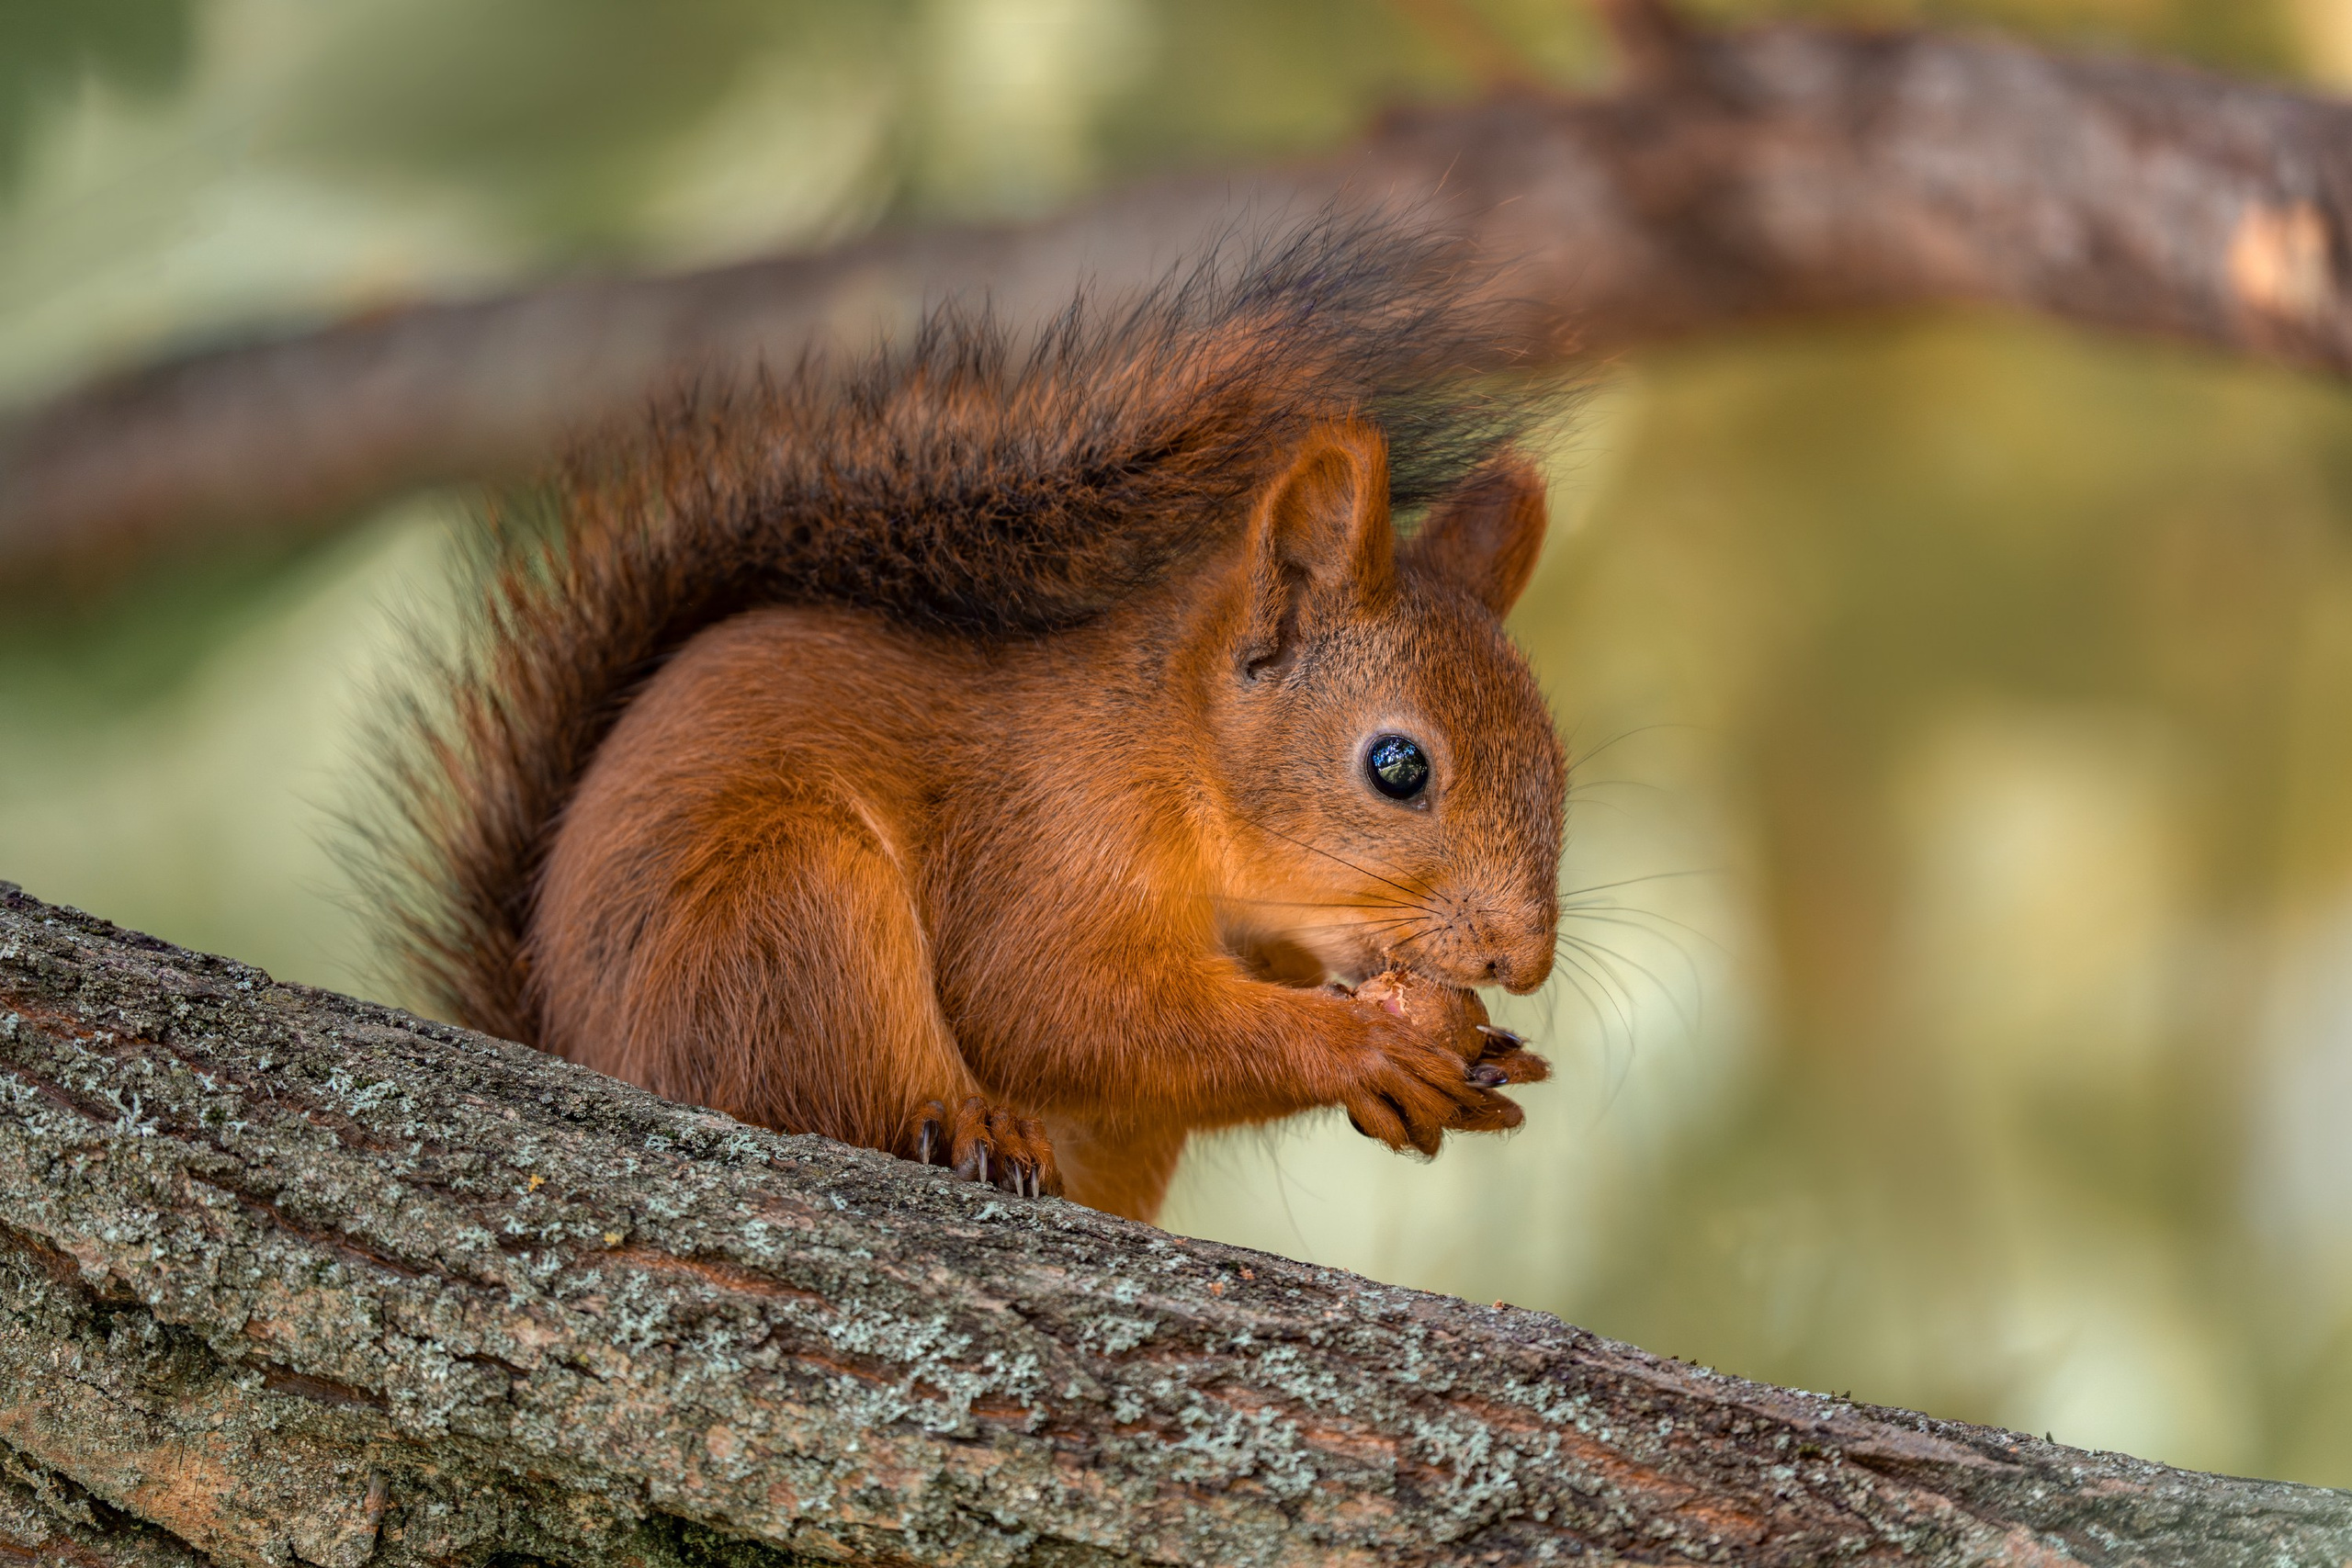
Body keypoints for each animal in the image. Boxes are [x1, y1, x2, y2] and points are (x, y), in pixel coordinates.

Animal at [369, 221, 1568, 1222]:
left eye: (1557, 762)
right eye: (1398, 765)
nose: (1522, 959)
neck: (1170, 753)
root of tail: (581, 1047)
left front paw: (1469, 1057)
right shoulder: (1047, 839)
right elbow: (1046, 1007)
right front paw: (1364, 1048)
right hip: (783, 909)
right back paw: (960, 1129)